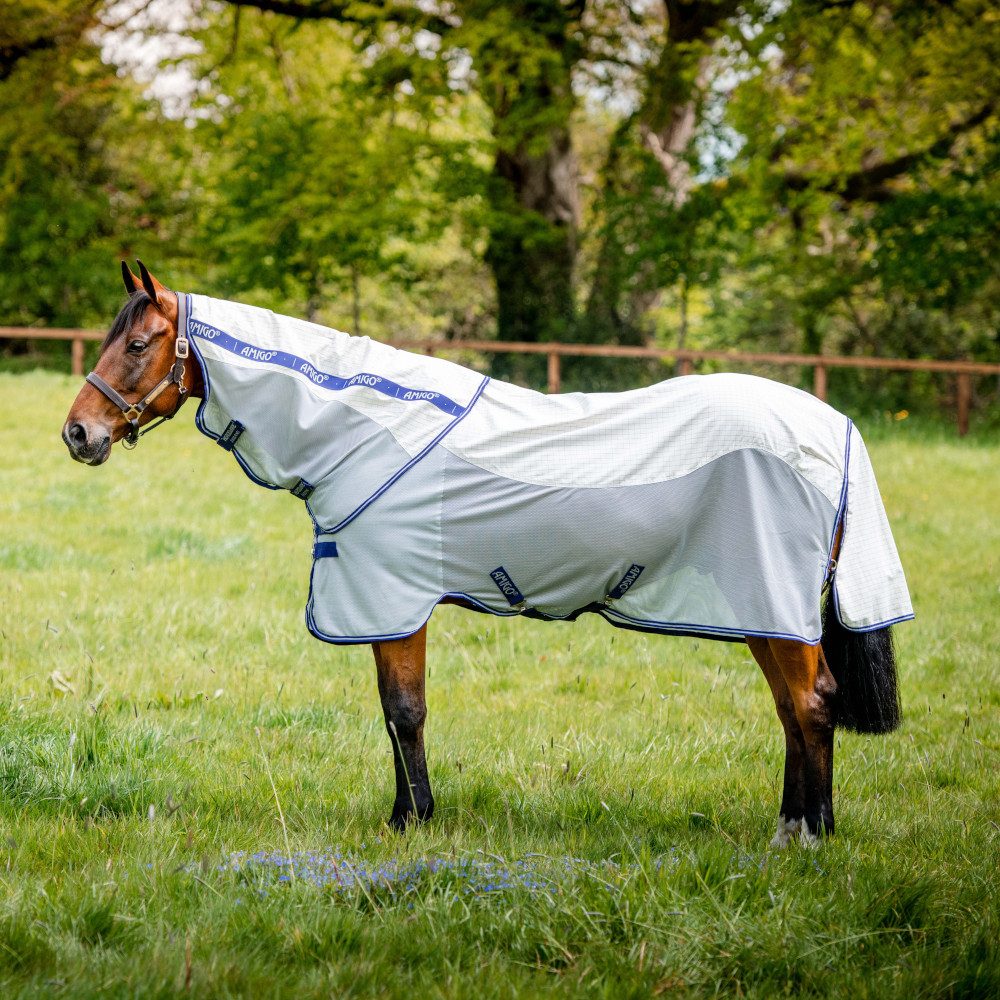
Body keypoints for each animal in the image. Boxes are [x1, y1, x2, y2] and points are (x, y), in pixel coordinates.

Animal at [62, 261, 911, 845]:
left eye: (138, 343)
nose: (78, 433)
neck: (366, 428)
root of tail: (833, 429)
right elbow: (393, 713)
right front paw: (406, 814)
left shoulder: (392, 599)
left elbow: (405, 711)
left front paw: (412, 822)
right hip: (764, 610)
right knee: (792, 710)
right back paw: (791, 826)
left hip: (772, 607)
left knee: (812, 704)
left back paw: (810, 837)